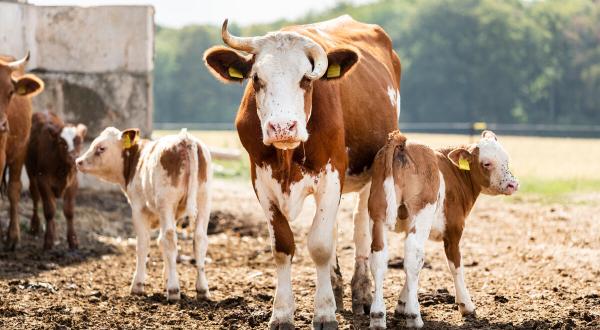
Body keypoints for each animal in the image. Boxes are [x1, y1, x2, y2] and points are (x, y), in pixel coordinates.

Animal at [25, 111, 87, 250]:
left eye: (79, 141)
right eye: (61, 142)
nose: (74, 158)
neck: (63, 169)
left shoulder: (73, 183)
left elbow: (69, 211)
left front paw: (73, 241)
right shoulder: (42, 179)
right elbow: (49, 210)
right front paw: (48, 241)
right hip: (30, 171)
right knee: (35, 197)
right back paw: (35, 226)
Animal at [77, 127, 213, 302]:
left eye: (101, 148)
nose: (78, 161)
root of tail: (184, 138)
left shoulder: (138, 209)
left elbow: (143, 245)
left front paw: (138, 285)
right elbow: (161, 243)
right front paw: (166, 277)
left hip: (166, 200)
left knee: (169, 238)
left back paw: (173, 290)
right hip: (204, 199)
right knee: (199, 238)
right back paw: (202, 289)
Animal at [204, 14, 400, 328]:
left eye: (306, 79)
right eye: (256, 79)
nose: (283, 127)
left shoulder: (332, 174)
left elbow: (320, 245)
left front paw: (324, 313)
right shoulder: (261, 180)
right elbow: (283, 246)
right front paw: (282, 313)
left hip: (373, 171)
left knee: (361, 227)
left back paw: (362, 293)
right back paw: (336, 288)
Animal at [368, 130, 516, 328]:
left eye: (506, 159)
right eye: (486, 163)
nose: (513, 185)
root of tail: (402, 144)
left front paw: (401, 303)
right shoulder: (453, 231)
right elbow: (456, 265)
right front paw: (466, 305)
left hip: (378, 212)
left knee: (380, 257)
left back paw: (377, 316)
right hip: (421, 211)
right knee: (413, 256)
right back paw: (414, 317)